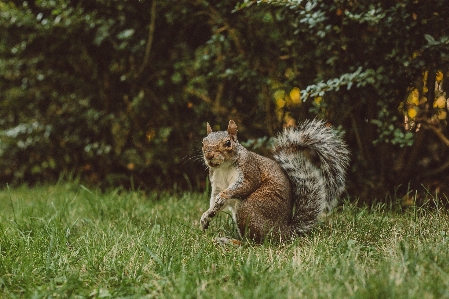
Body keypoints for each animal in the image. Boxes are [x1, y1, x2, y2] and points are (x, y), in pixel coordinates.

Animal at [200, 119, 350, 244]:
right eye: (203, 142)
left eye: (228, 143)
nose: (209, 155)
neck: (224, 167)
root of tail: (284, 232)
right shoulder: (216, 182)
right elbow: (214, 201)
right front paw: (206, 216)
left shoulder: (250, 170)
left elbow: (245, 185)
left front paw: (223, 196)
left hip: (249, 208)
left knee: (253, 242)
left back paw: (234, 242)